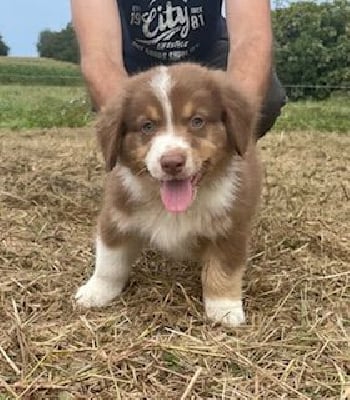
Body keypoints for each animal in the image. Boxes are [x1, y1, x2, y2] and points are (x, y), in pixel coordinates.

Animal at [75, 61, 262, 324]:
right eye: (147, 126)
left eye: (197, 121)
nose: (172, 163)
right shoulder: (116, 215)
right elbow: (109, 262)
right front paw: (95, 292)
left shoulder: (231, 227)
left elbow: (223, 271)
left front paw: (224, 310)